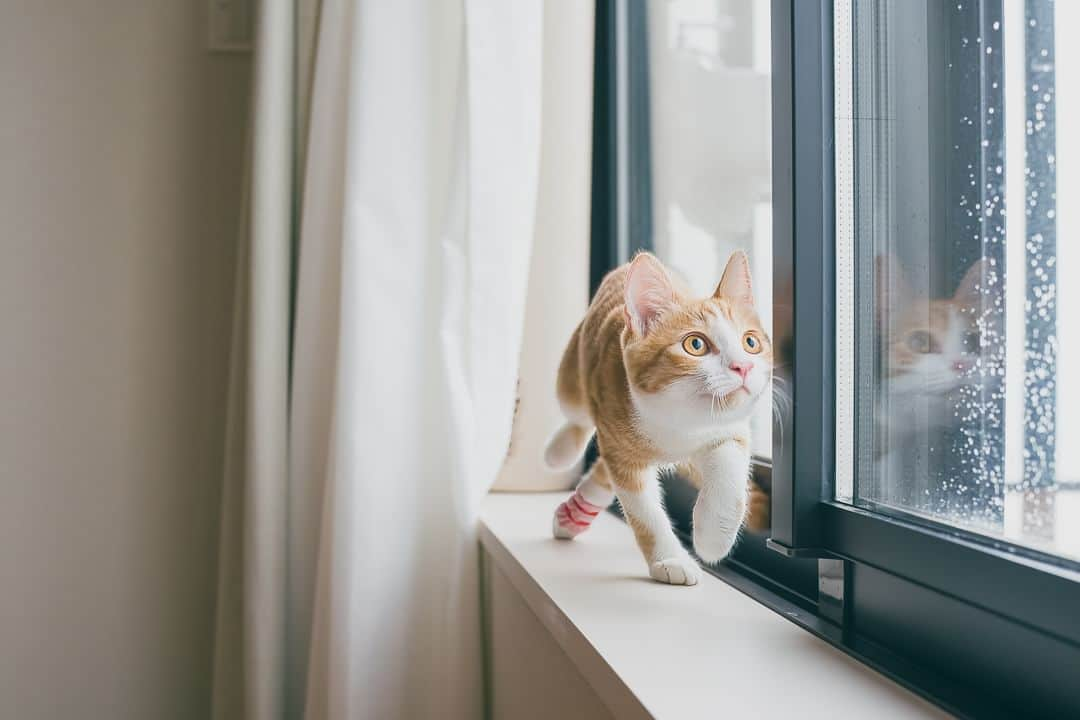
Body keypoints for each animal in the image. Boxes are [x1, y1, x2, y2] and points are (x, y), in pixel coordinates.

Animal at [548, 253, 768, 587]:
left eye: (751, 343)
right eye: (695, 345)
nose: (743, 367)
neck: (678, 421)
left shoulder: (730, 429)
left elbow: (729, 470)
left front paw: (713, 534)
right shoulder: (621, 450)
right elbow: (644, 512)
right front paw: (671, 559)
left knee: (601, 470)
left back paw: (575, 512)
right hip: (575, 377)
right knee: (577, 413)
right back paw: (560, 452)